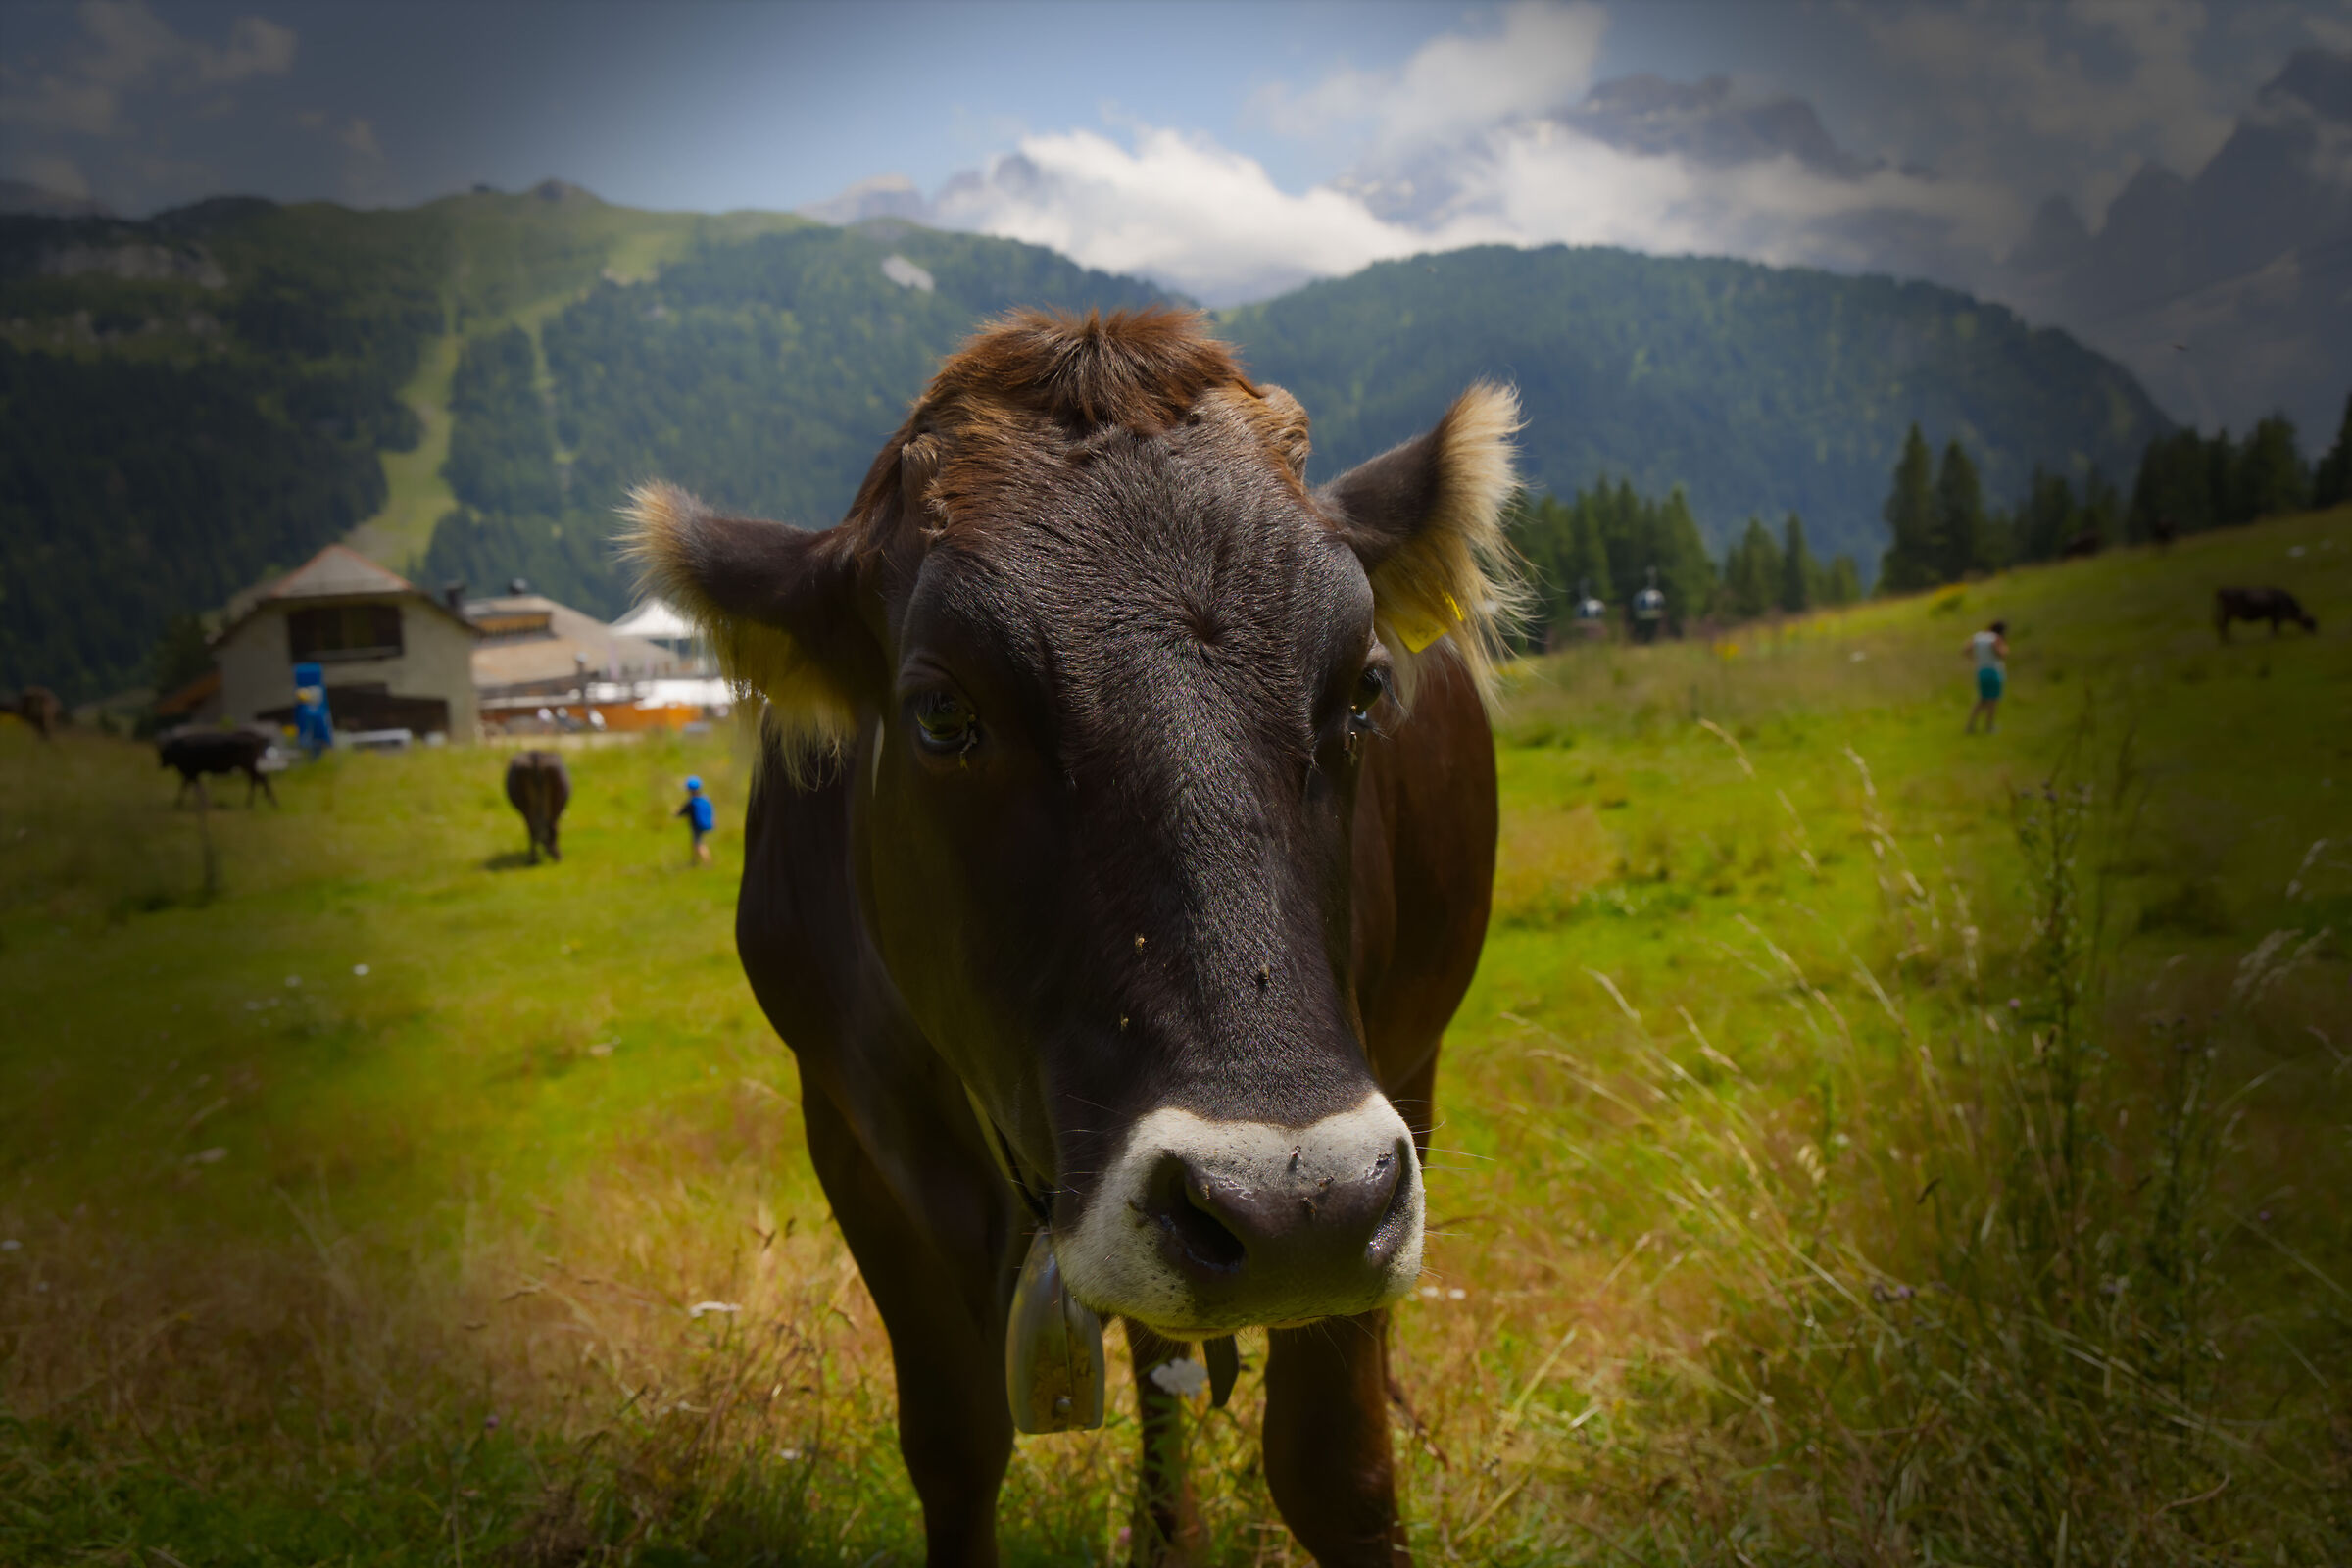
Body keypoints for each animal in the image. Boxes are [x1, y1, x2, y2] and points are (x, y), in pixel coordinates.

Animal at [629, 309, 1519, 1567]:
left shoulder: (1383, 1126)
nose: (1288, 1207)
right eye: (943, 713)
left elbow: (1335, 1466)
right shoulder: (852, 1134)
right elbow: (955, 1445)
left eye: (1364, 688)